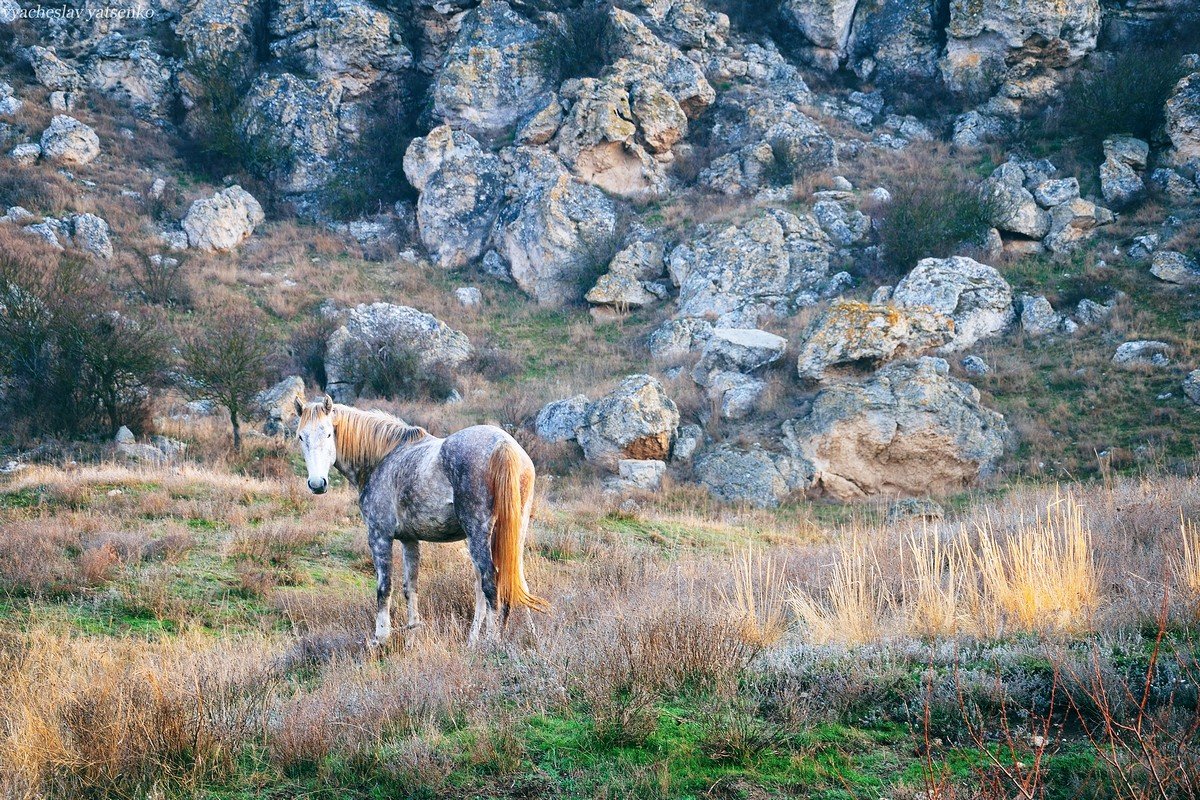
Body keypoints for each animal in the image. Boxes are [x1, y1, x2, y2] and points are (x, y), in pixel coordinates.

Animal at [295, 398, 549, 647]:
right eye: (300, 436)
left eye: (329, 433)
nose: (317, 484)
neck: (382, 458)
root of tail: (503, 446)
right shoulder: (409, 540)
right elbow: (411, 587)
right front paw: (412, 635)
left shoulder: (379, 536)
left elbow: (384, 588)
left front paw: (380, 638)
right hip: (513, 533)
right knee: (513, 579)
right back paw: (521, 637)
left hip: (478, 534)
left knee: (489, 583)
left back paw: (490, 642)